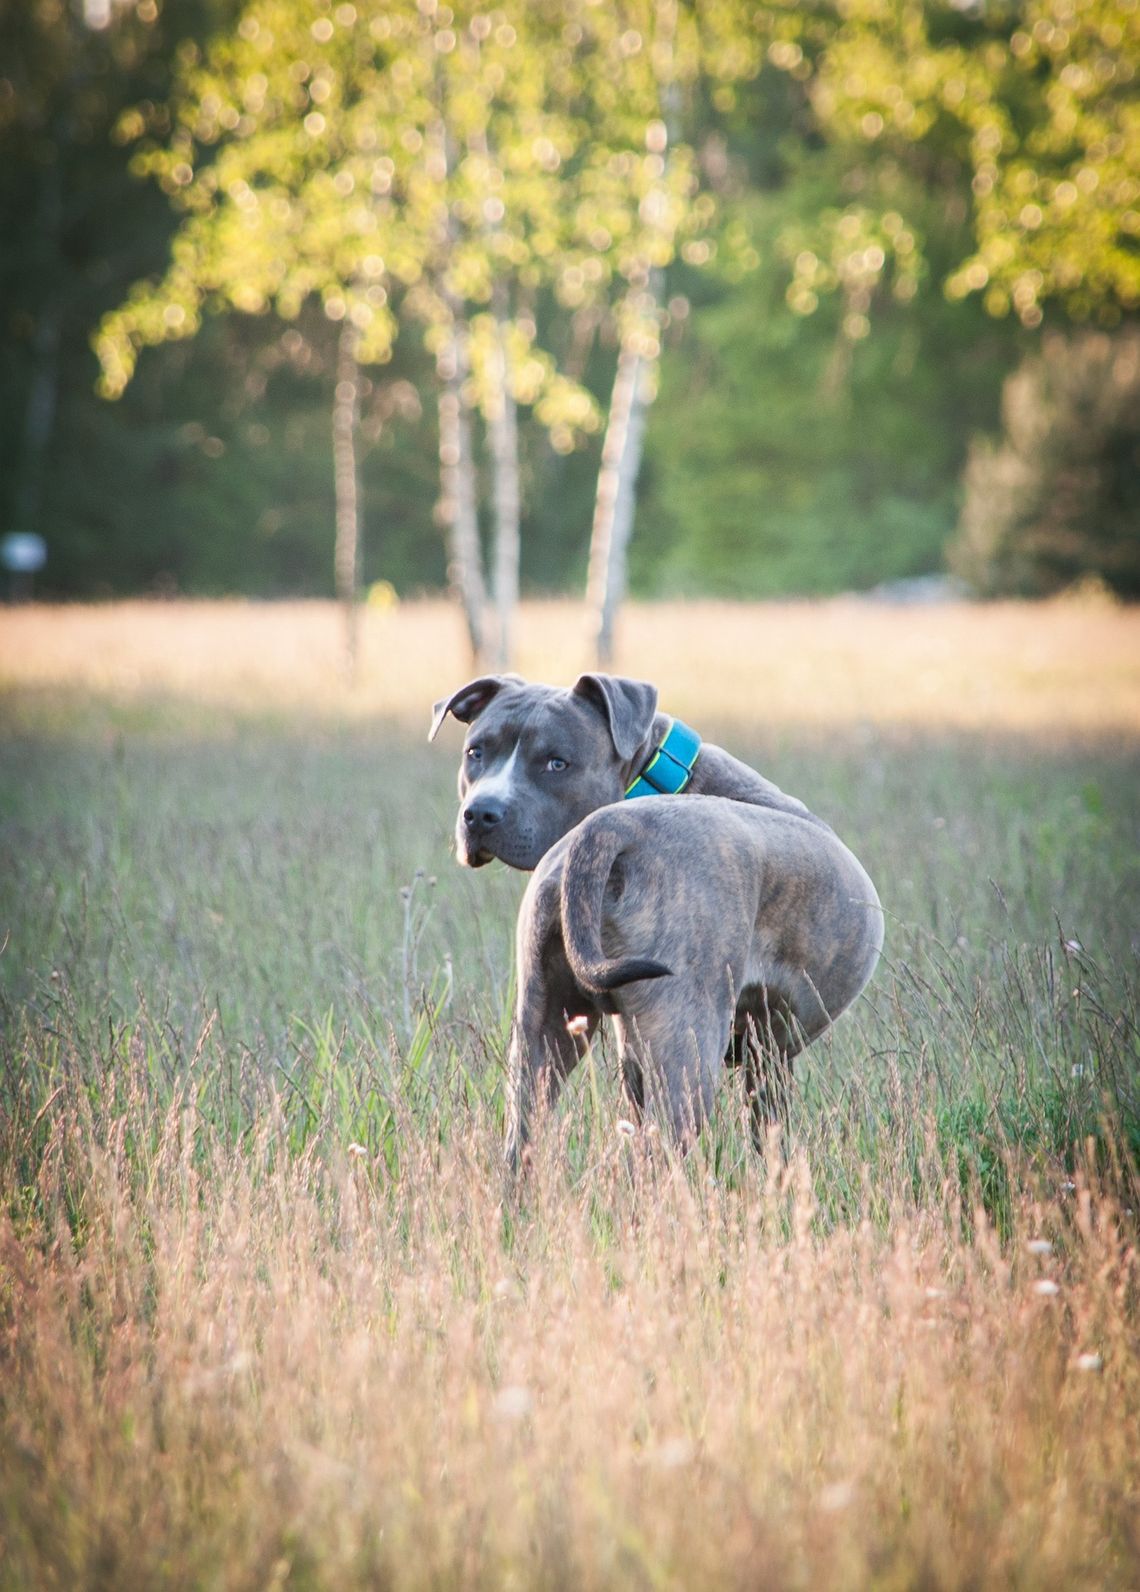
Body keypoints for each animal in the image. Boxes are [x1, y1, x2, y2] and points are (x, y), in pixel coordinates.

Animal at [433, 671, 885, 1171]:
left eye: (557, 763)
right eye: (476, 752)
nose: (481, 813)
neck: (653, 778)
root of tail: (613, 826)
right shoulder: (765, 1058)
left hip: (542, 1029)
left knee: (522, 1140)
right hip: (685, 1054)